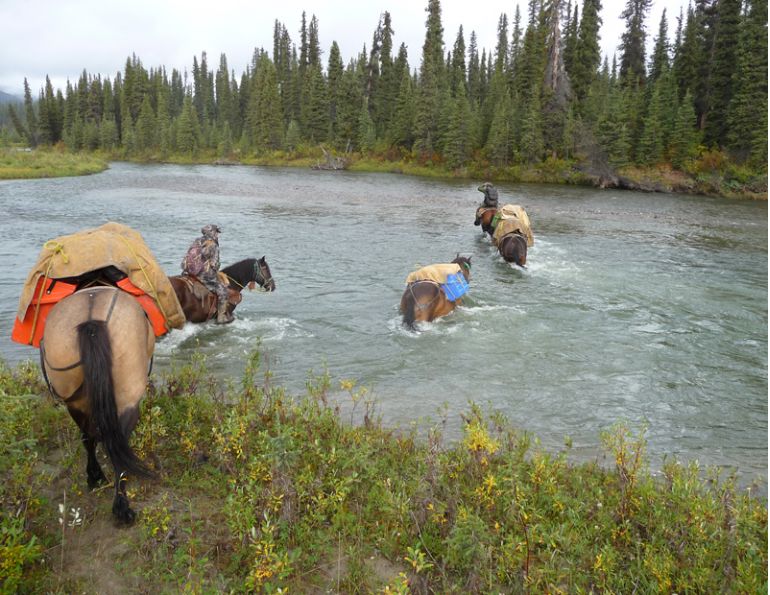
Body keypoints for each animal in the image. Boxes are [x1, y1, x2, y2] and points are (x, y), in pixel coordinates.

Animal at [40, 286, 156, 523]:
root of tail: (91, 322)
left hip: (73, 398)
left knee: (88, 437)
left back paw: (96, 478)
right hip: (128, 396)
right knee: (118, 443)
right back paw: (121, 505)